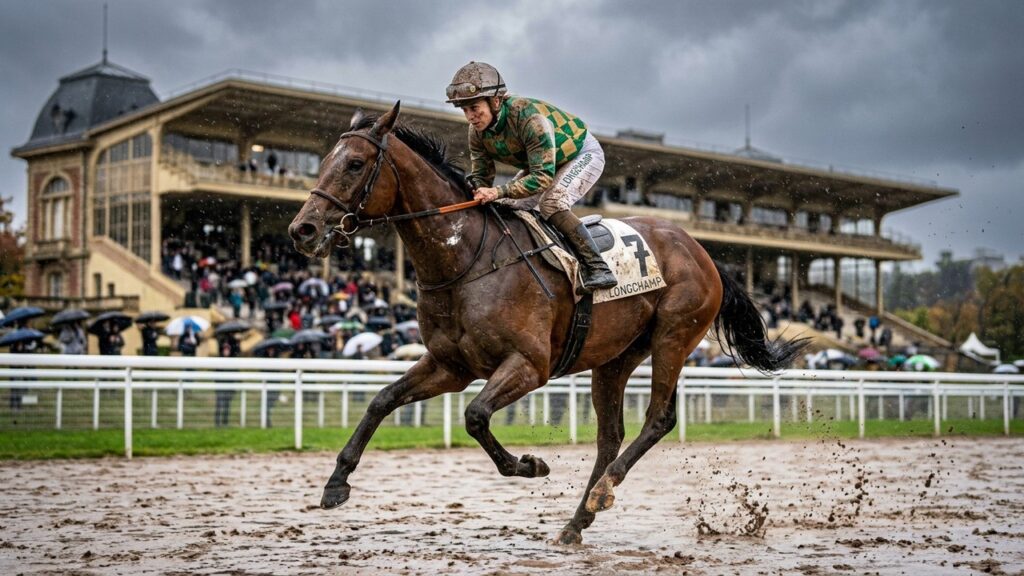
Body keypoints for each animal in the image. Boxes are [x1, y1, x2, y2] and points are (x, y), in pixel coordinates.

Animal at [288, 101, 807, 544]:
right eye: (323, 160)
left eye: (355, 163)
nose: (303, 229)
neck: (466, 260)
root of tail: (704, 252)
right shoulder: (450, 366)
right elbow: (382, 400)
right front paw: (335, 483)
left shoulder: (529, 364)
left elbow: (475, 416)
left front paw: (530, 465)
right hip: (616, 357)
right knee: (609, 437)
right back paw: (578, 520)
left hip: (674, 336)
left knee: (658, 418)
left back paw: (602, 492)